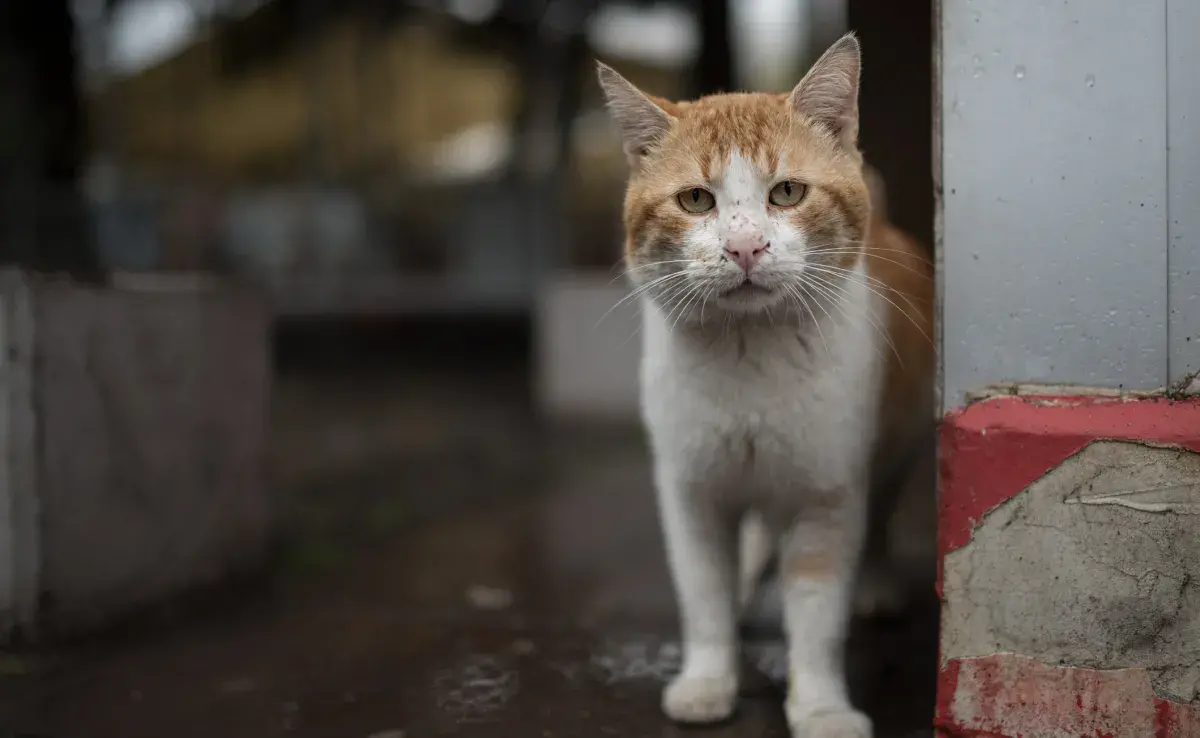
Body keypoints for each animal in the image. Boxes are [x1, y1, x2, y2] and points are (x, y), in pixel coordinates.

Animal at [595, 31, 931, 734]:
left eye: (787, 193)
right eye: (697, 200)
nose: (745, 247)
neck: (749, 357)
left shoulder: (827, 497)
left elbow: (818, 615)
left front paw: (823, 707)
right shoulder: (691, 493)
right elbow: (703, 597)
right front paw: (707, 681)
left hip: (896, 448)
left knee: (881, 518)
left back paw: (878, 583)